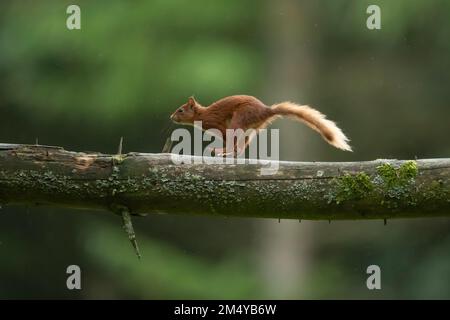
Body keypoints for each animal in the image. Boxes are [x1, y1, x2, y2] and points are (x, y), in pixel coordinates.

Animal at [171, 94, 350, 156]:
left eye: (180, 110)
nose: (171, 116)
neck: (201, 115)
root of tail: (265, 111)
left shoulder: (216, 124)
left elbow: (226, 137)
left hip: (239, 120)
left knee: (235, 144)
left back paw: (222, 151)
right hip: (251, 129)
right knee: (243, 146)